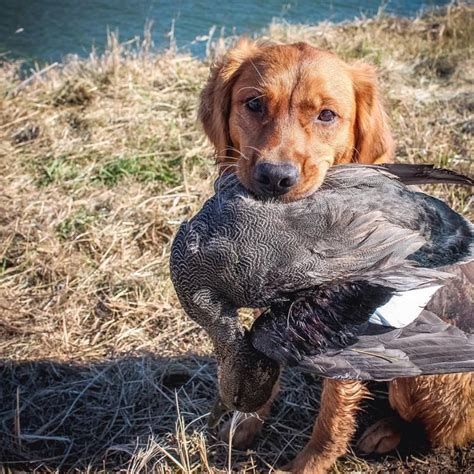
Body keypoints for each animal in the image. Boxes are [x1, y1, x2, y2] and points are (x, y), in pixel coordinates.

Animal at [197, 39, 474, 472]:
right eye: (254, 103)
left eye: (327, 115)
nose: (275, 177)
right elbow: (266, 355)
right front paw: (247, 423)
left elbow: (332, 414)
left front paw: (307, 464)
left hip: (420, 380)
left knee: (439, 428)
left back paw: (387, 431)